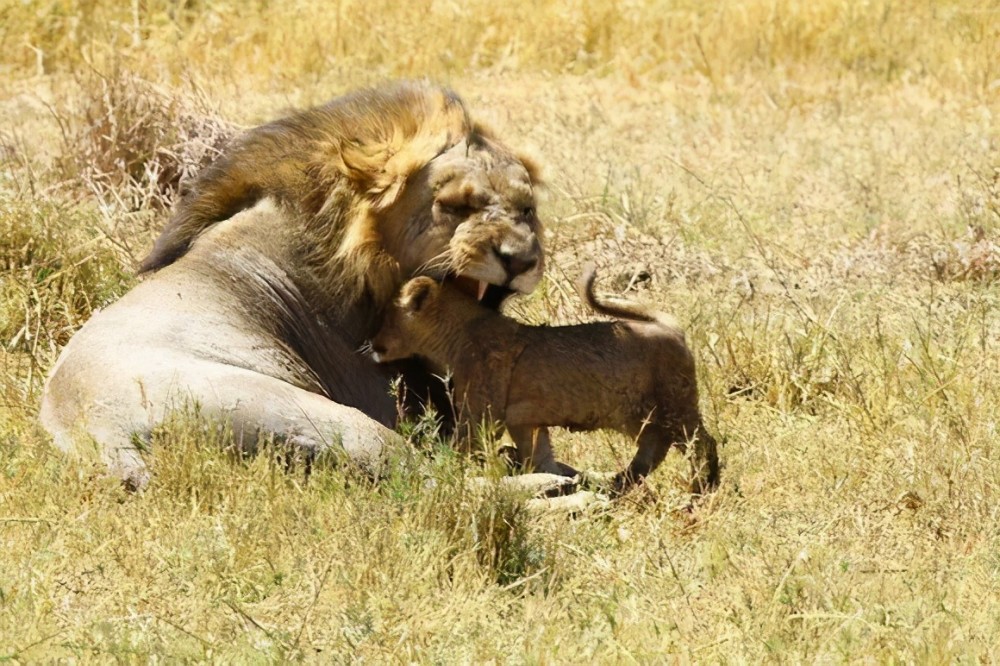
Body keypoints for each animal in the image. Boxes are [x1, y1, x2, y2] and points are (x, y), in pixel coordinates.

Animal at [39, 80, 552, 490]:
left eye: (526, 209)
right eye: (454, 206)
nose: (521, 259)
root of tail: (101, 435)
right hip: (323, 416)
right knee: (446, 485)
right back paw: (556, 488)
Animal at [368, 266, 720, 492]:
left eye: (385, 316)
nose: (371, 342)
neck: (458, 335)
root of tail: (668, 326)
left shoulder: (482, 417)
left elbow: (461, 447)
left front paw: (444, 469)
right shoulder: (523, 421)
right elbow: (539, 457)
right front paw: (548, 478)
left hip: (674, 406)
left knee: (702, 443)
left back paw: (702, 488)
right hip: (639, 416)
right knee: (653, 448)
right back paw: (620, 483)